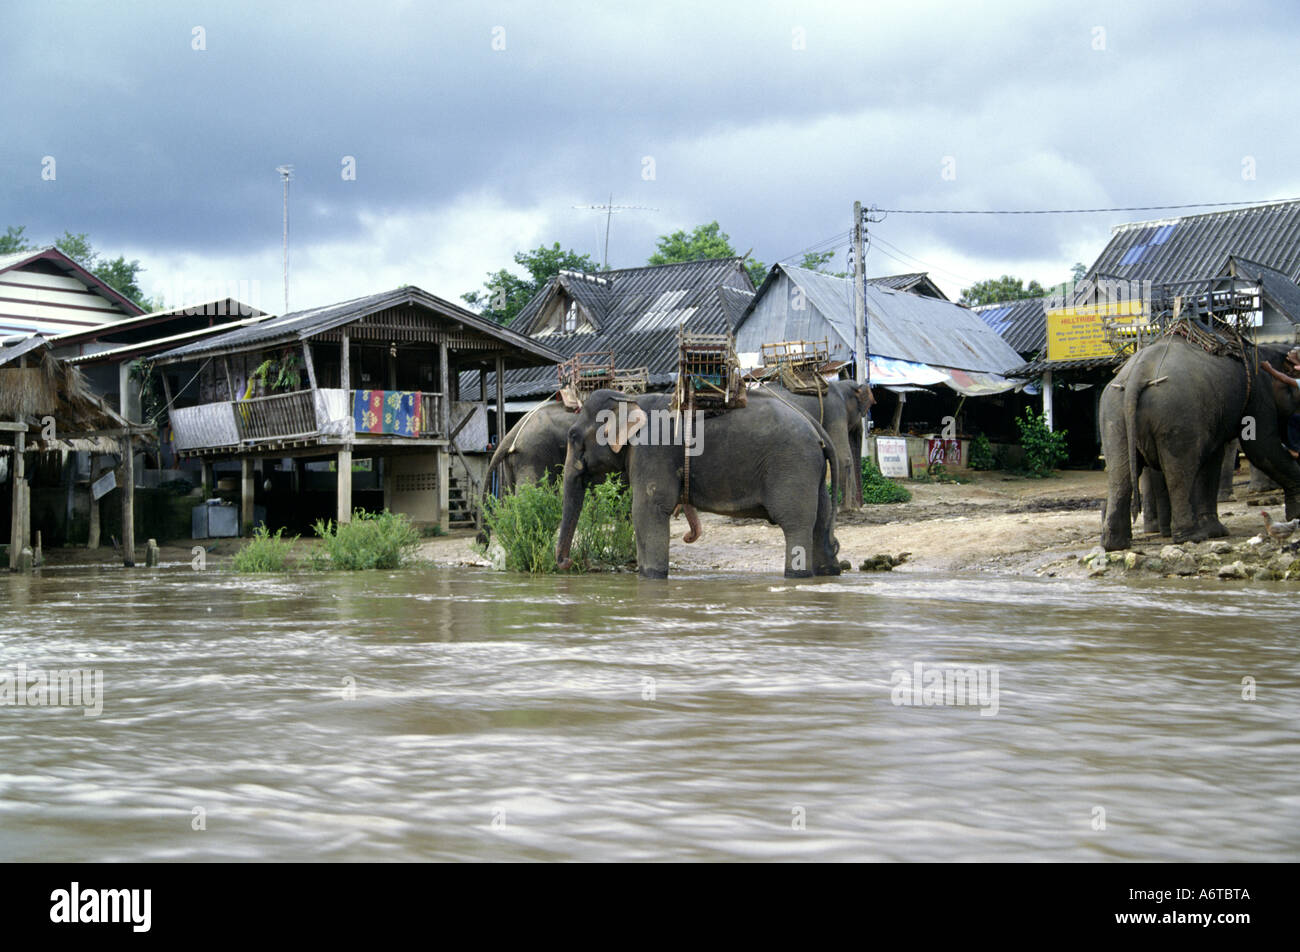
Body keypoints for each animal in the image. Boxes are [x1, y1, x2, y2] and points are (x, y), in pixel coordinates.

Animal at [551, 387, 842, 580]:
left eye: (573, 436)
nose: (568, 562)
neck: (631, 399)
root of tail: (816, 426)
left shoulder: (651, 451)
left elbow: (647, 511)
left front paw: (651, 576)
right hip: (811, 471)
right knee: (820, 521)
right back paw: (828, 572)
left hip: (793, 464)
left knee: (796, 523)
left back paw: (796, 576)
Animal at [1102, 335, 1300, 551]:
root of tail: (1137, 374)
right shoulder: (1258, 392)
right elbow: (1260, 446)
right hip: (1177, 413)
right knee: (1179, 471)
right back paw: (1191, 537)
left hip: (1114, 415)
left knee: (1119, 474)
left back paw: (1115, 544)